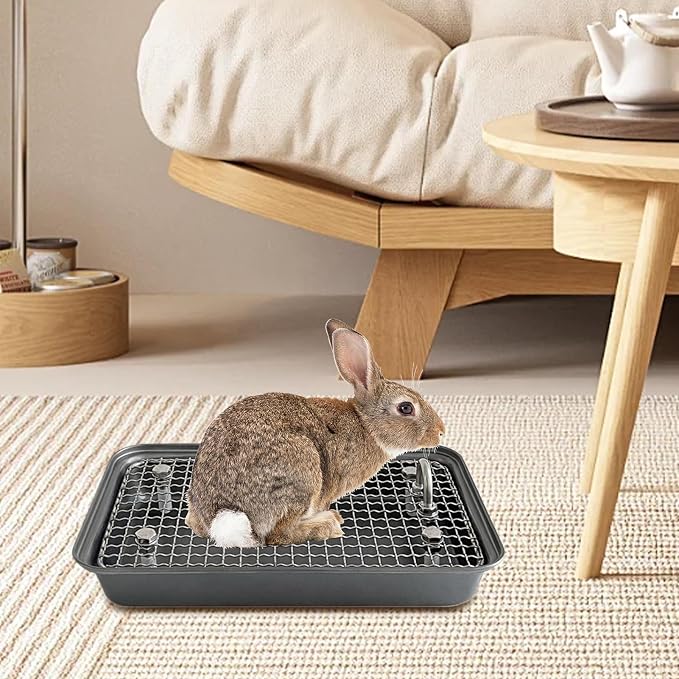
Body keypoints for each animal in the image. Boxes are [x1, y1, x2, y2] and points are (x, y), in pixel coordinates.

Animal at [186, 318, 445, 547]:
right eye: (406, 408)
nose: (441, 431)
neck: (365, 424)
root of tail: (224, 514)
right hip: (303, 471)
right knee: (278, 535)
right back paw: (328, 524)